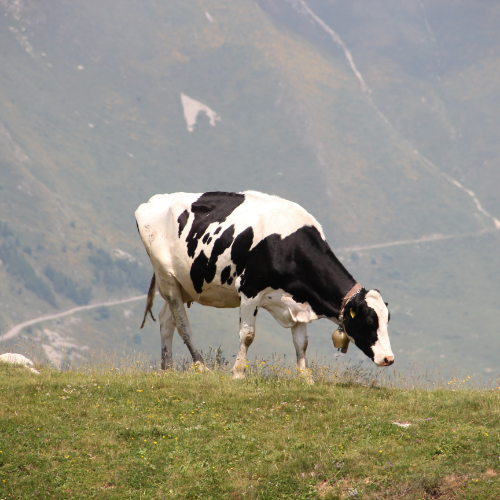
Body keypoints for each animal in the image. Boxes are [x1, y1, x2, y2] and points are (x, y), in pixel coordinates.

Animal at [135, 191, 392, 378]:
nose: (388, 358)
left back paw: (166, 368)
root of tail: (153, 201)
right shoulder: (249, 290)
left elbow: (302, 343)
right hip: (166, 278)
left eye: (387, 319)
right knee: (182, 324)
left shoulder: (300, 301)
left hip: (185, 284)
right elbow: (247, 335)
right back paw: (200, 365)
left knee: (166, 321)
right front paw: (238, 374)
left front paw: (305, 377)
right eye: (370, 320)